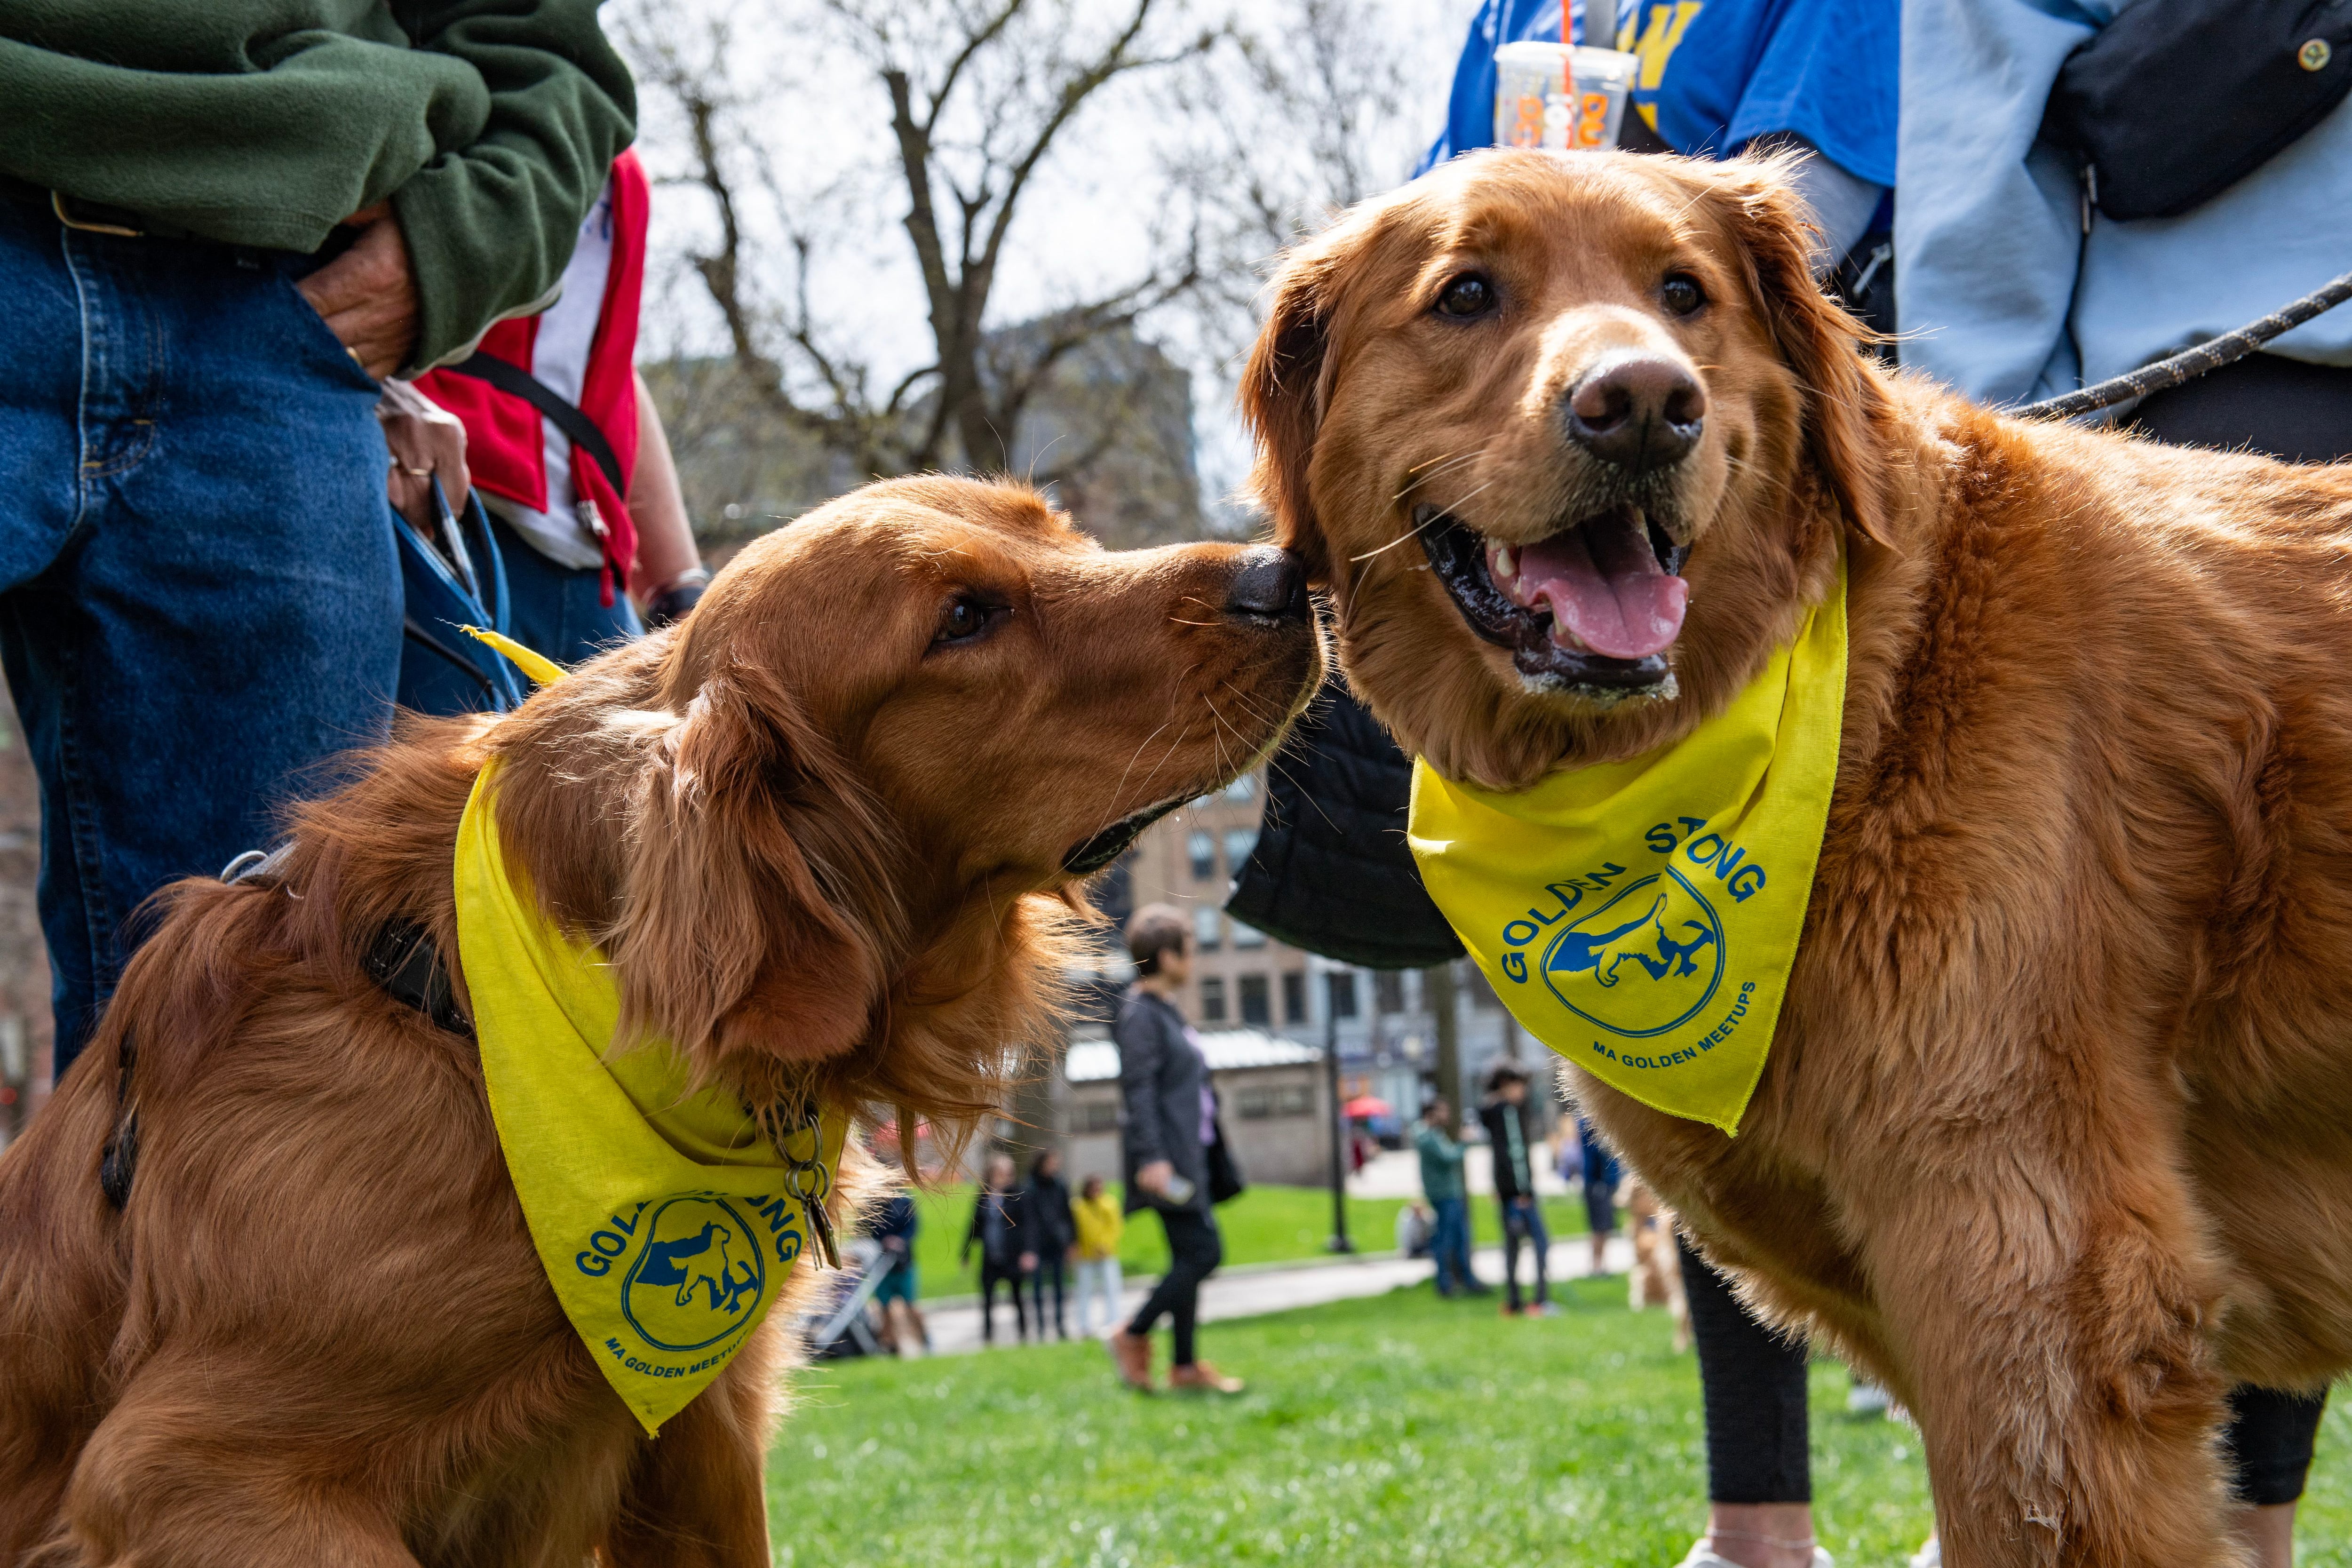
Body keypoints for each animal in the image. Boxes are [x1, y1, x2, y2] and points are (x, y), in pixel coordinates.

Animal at [0, 479, 1327, 1568]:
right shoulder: (194, 1474)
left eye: (1058, 527)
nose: (1286, 573)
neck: (489, 1026)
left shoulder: (700, 1432)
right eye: (962, 618)